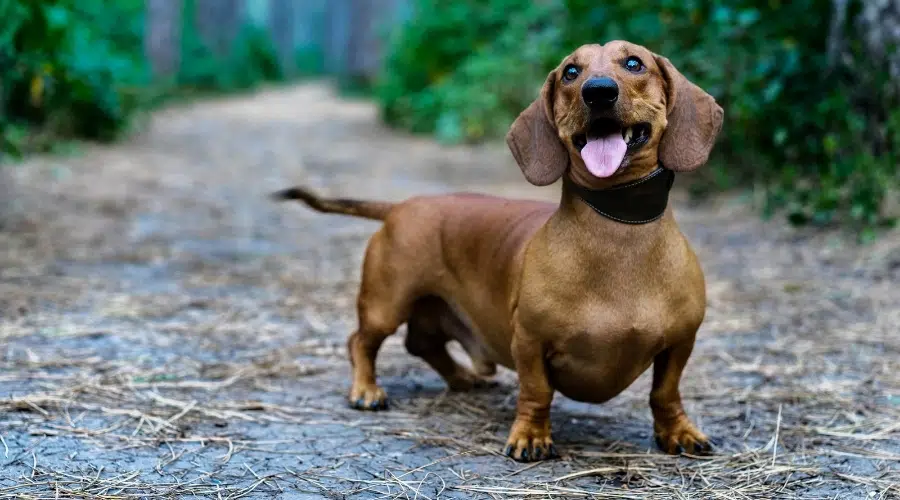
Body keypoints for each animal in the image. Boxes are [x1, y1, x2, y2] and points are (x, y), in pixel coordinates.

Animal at [272, 41, 724, 462]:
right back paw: (366, 390)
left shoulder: (681, 342)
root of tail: (401, 206)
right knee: (360, 342)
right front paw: (531, 437)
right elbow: (537, 392)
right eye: (570, 72)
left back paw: (462, 378)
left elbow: (665, 393)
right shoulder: (529, 340)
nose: (597, 91)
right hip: (387, 303)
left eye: (634, 63)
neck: (618, 227)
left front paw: (678, 432)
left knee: (422, 344)